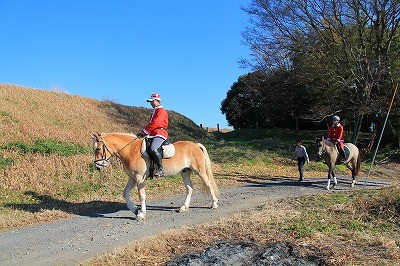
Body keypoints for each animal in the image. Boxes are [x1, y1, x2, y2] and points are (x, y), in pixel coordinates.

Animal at [92, 132, 220, 219]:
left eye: (98, 148)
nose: (97, 166)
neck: (131, 151)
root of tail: (195, 145)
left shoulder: (139, 178)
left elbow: (142, 196)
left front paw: (141, 214)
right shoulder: (132, 178)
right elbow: (125, 193)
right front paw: (135, 210)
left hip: (200, 171)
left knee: (208, 184)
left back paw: (214, 204)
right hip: (185, 172)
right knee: (190, 188)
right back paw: (183, 207)